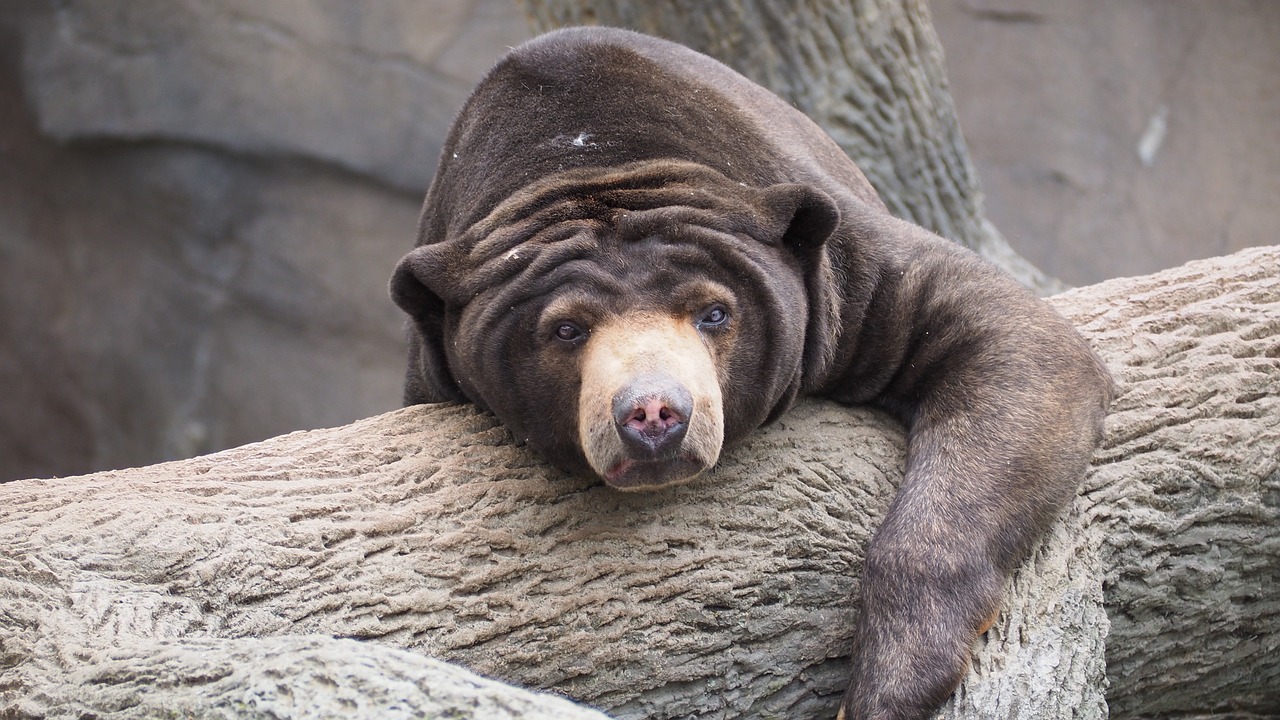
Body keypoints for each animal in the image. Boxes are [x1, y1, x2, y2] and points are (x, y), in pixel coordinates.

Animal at [386, 26, 1111, 717]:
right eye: (566, 330)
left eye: (714, 312)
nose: (655, 414)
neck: (586, 159)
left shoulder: (841, 269)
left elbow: (1017, 338)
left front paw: (886, 686)